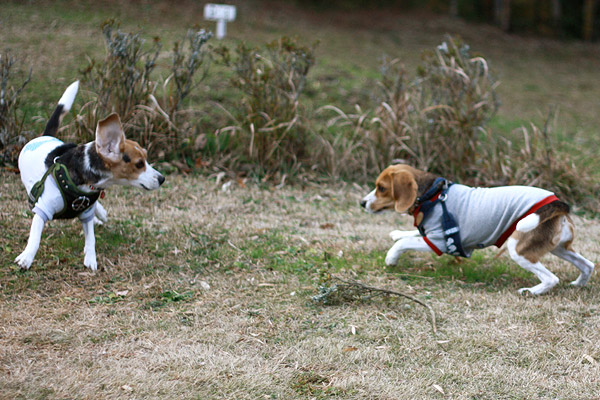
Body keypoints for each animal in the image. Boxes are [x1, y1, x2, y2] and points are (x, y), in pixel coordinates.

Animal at [360, 164, 596, 296]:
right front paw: (398, 233)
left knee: (551, 279)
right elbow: (412, 234)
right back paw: (578, 284)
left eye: (381, 188)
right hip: (559, 248)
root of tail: (557, 203)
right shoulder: (431, 234)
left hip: (519, 248)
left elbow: (404, 243)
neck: (432, 196)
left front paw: (391, 258)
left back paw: (531, 292)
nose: (362, 203)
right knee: (588, 265)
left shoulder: (438, 242)